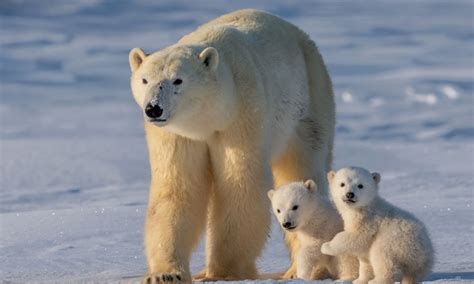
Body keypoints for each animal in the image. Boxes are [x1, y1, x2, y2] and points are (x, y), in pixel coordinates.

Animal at [127, 8, 334, 282]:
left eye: (178, 80)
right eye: (144, 80)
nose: (153, 108)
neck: (208, 118)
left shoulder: (242, 114)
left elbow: (240, 185)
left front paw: (223, 272)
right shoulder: (177, 135)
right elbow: (177, 189)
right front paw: (165, 274)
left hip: (309, 101)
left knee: (302, 167)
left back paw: (299, 270)